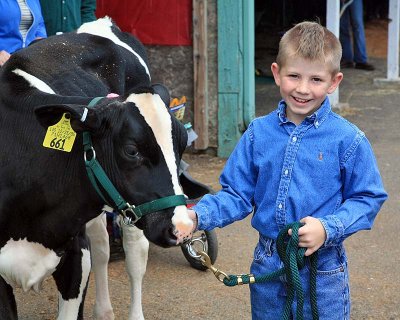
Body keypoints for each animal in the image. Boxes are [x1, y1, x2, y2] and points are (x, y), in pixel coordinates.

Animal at [0, 18, 192, 320]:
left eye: (182, 144)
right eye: (132, 150)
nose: (183, 227)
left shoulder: (75, 256)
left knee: (135, 254)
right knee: (102, 245)